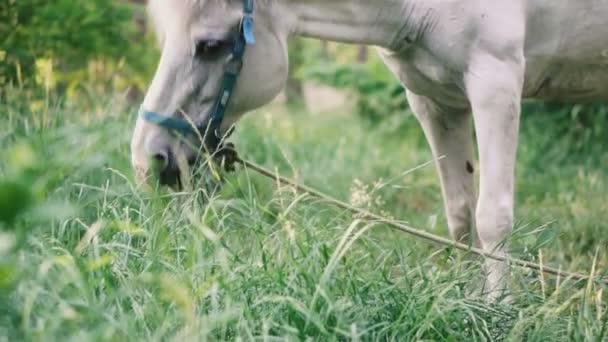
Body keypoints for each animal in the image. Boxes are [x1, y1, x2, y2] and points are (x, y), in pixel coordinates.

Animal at [132, 0, 608, 300]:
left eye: (210, 46)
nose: (147, 158)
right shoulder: (437, 103)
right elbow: (459, 214)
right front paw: (463, 295)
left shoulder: (496, 82)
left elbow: (492, 218)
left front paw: (499, 308)